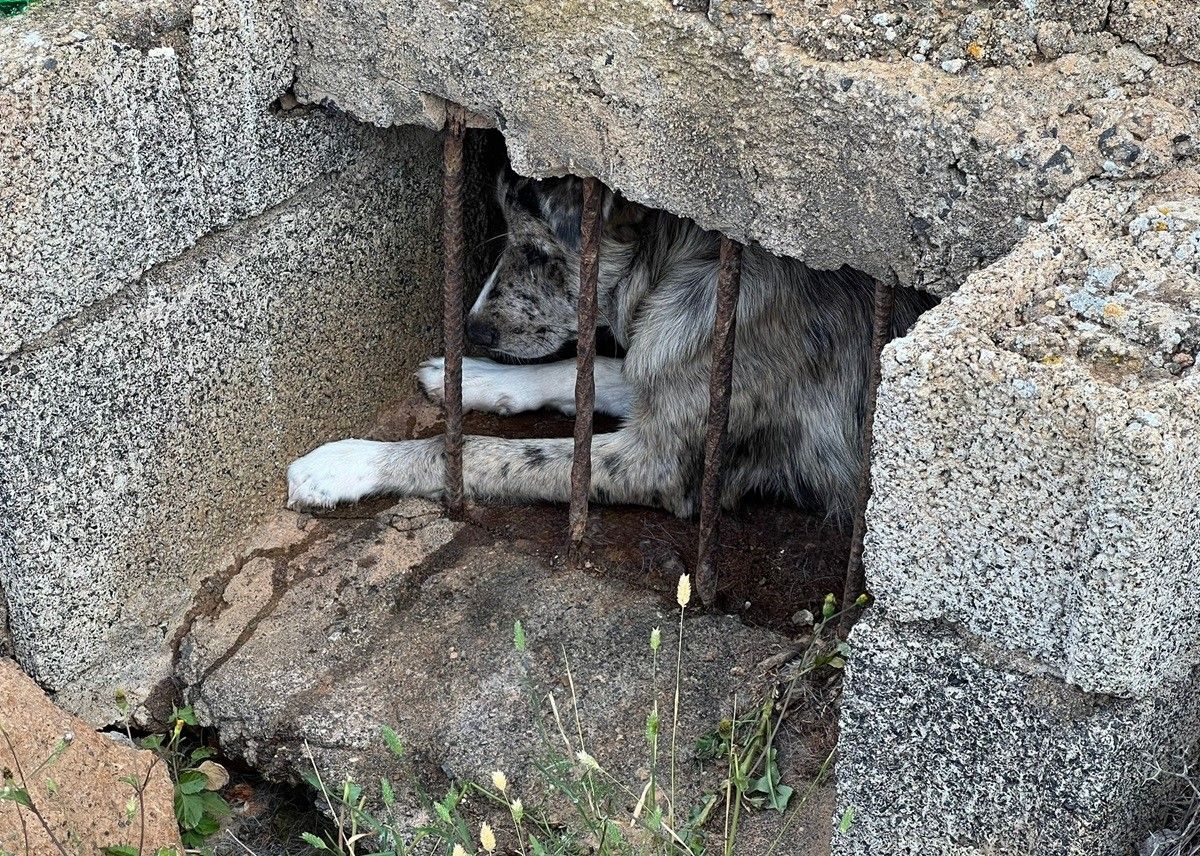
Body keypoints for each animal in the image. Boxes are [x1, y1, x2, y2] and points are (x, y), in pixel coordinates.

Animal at [285, 168, 931, 513]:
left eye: (537, 252)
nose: (471, 330)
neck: (687, 262)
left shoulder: (658, 460)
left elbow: (479, 451)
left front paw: (350, 463)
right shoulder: (660, 367)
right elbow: (581, 370)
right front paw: (472, 376)